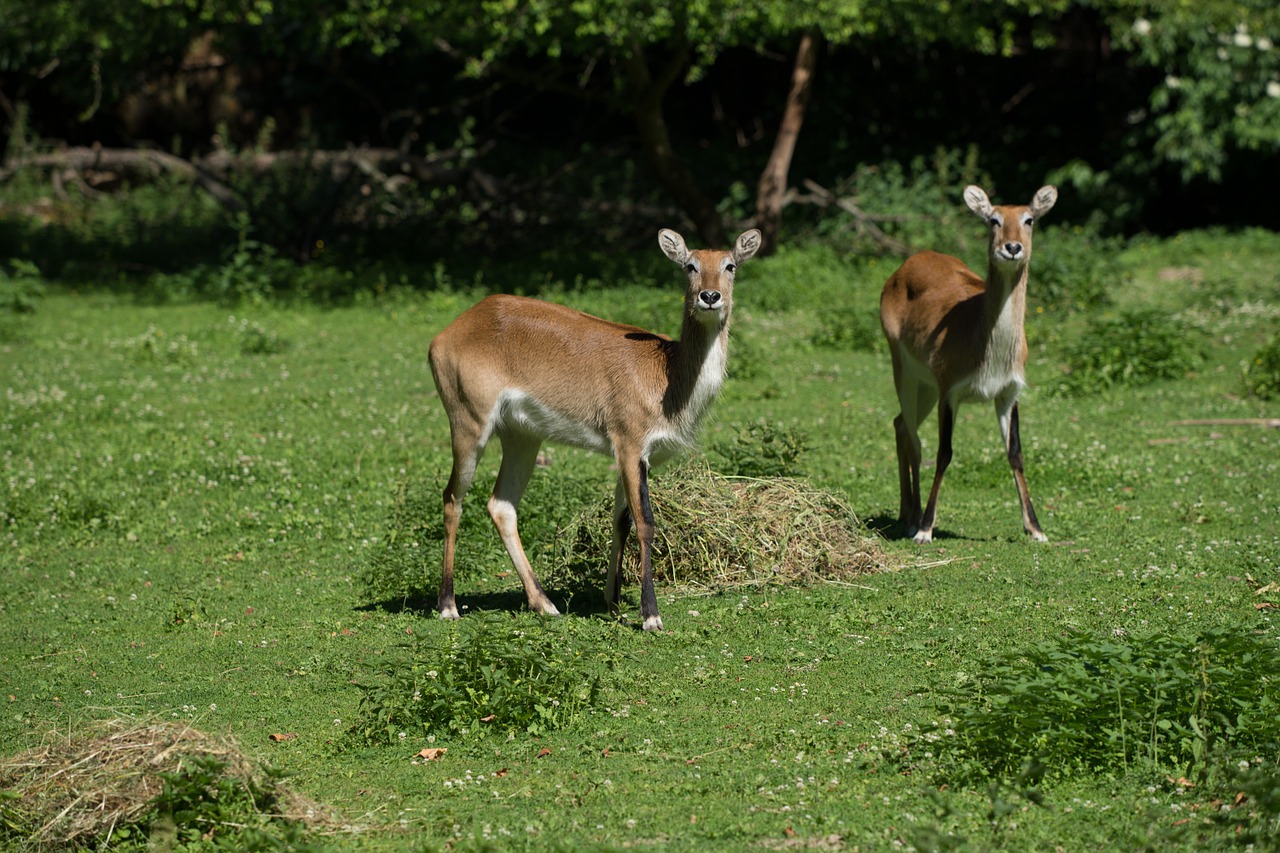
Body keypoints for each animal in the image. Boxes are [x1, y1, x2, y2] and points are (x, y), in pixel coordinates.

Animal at [424, 227, 757, 630]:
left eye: (730, 265)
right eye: (689, 265)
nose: (710, 296)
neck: (666, 374)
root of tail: (449, 331)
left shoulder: (634, 456)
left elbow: (621, 520)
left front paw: (612, 603)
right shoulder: (629, 445)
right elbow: (645, 522)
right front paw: (650, 615)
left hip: (523, 437)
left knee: (501, 505)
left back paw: (545, 603)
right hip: (469, 425)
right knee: (452, 497)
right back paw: (448, 605)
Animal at [880, 184, 1059, 545]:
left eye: (1029, 219)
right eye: (993, 219)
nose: (1012, 247)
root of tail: (907, 263)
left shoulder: (1008, 393)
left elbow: (1016, 452)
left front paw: (1035, 528)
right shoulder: (950, 393)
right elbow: (944, 452)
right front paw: (926, 529)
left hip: (926, 388)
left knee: (900, 424)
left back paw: (907, 513)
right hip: (904, 371)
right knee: (914, 439)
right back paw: (913, 520)